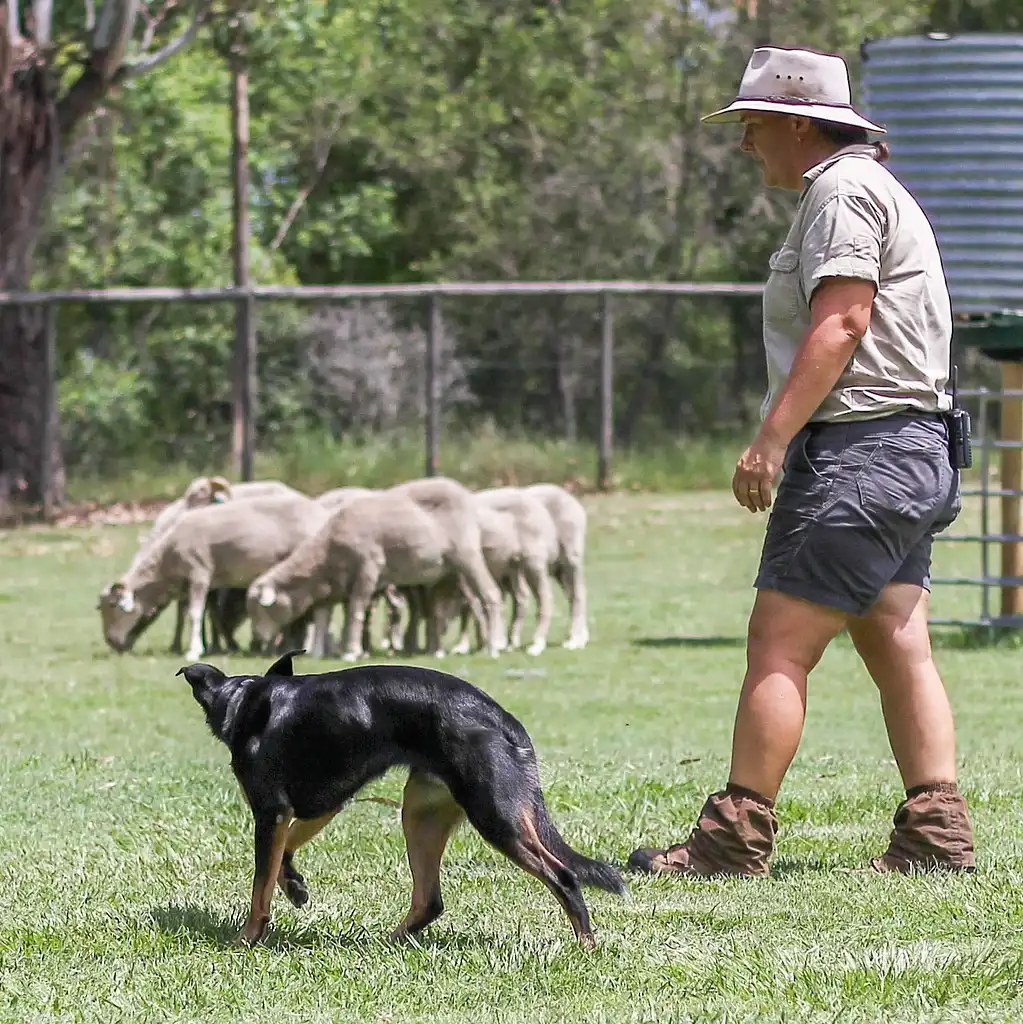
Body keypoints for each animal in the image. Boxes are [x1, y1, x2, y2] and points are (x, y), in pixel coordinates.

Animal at [97, 491, 325, 659]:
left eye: (112, 605)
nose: (111, 642)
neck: (166, 559)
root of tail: (319, 511)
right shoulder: (202, 582)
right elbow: (209, 614)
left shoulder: (199, 572)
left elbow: (195, 614)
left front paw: (194, 651)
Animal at [176, 651, 622, 946]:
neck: (245, 699)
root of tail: (505, 722)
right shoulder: (320, 805)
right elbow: (284, 854)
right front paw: (295, 887)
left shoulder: (271, 812)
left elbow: (260, 888)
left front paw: (247, 939)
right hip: (422, 814)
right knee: (430, 900)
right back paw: (385, 942)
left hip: (496, 817)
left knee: (564, 876)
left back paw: (586, 946)